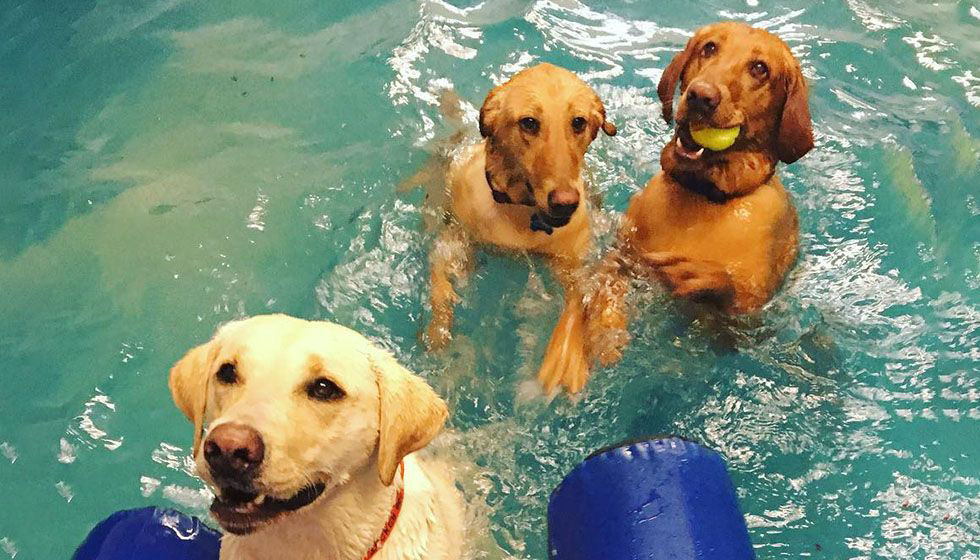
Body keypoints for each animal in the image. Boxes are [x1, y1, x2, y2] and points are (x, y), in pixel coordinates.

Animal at [424, 62, 616, 394]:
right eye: (528, 123)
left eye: (578, 122)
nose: (565, 203)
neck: (523, 215)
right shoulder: (454, 237)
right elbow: (439, 287)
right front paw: (438, 333)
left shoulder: (572, 263)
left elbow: (578, 303)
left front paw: (567, 356)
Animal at [572, 21, 816, 380]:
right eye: (709, 48)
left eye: (760, 69)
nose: (701, 96)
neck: (704, 196)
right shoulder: (622, 257)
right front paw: (606, 336)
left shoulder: (747, 321)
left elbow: (729, 292)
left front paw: (699, 275)